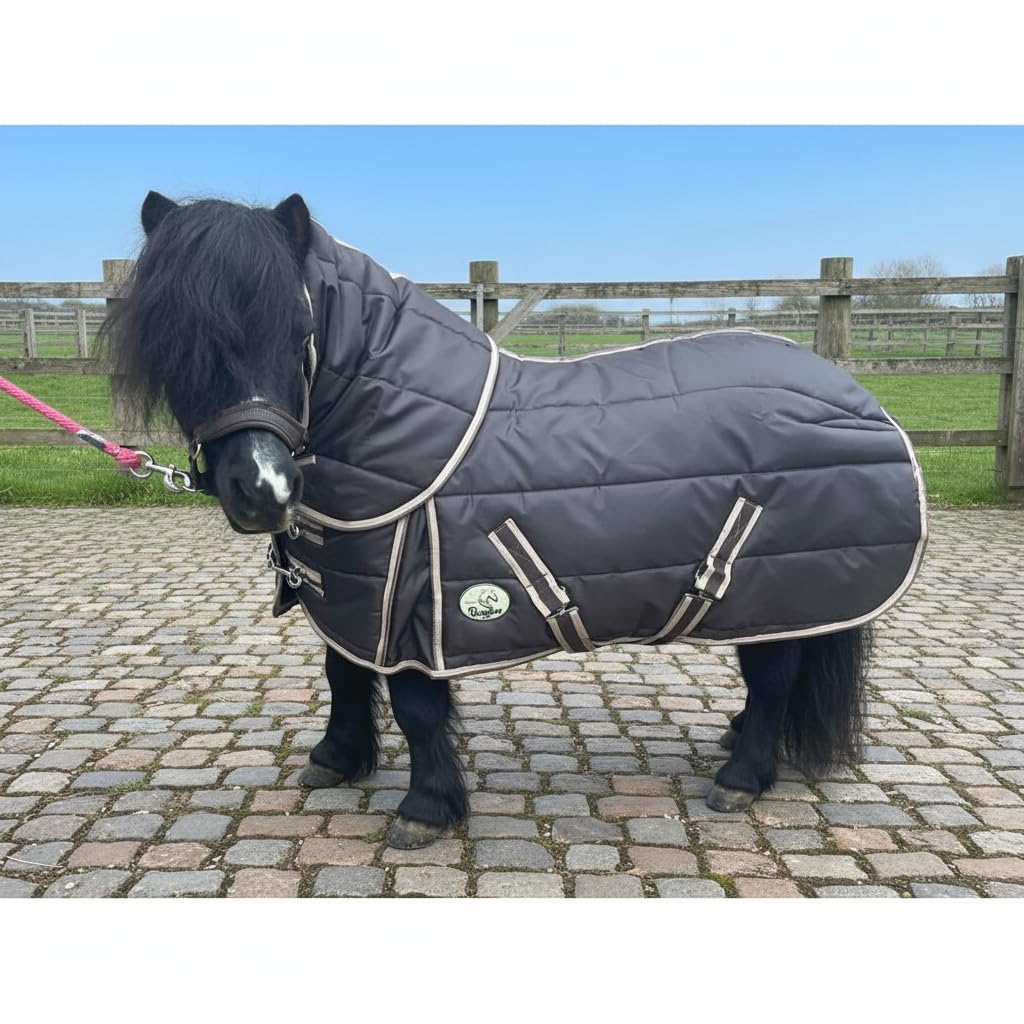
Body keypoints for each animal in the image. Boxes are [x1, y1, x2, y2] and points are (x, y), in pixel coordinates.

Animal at [101, 191, 925, 849]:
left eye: (298, 327)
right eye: (175, 338)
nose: (262, 490)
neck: (407, 425)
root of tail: (854, 395)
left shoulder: (413, 605)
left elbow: (416, 708)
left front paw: (425, 809)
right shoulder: (350, 589)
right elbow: (343, 672)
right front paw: (337, 759)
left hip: (774, 588)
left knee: (776, 675)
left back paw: (743, 775)